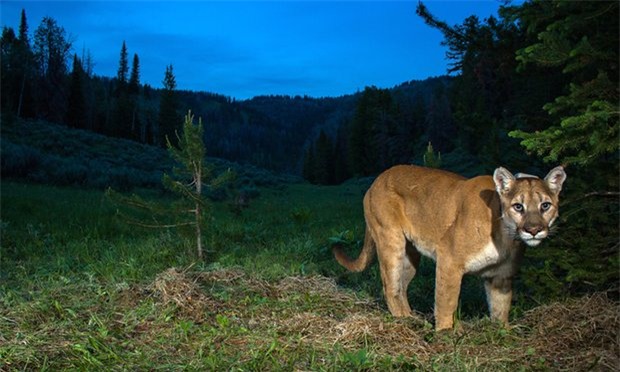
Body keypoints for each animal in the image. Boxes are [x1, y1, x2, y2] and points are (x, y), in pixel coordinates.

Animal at [334, 164, 568, 330]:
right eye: (518, 206)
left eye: (545, 205)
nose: (533, 230)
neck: (505, 236)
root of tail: (376, 181)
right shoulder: (449, 259)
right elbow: (446, 300)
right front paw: (446, 334)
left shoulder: (501, 276)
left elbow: (501, 308)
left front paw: (503, 333)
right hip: (391, 240)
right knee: (390, 288)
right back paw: (404, 323)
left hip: (410, 258)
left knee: (401, 287)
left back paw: (413, 318)